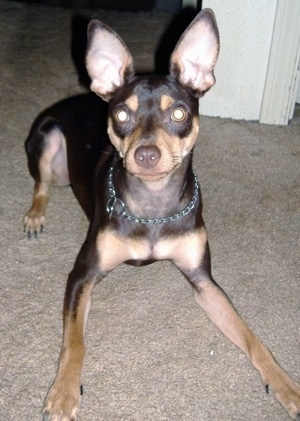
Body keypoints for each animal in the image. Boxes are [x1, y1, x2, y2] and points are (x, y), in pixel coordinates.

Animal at [23, 8, 300, 418]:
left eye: (180, 112)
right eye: (122, 114)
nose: (147, 155)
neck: (153, 210)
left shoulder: (203, 280)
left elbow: (252, 336)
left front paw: (286, 386)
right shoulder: (82, 275)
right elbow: (75, 342)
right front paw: (63, 393)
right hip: (48, 139)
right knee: (40, 185)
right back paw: (34, 216)